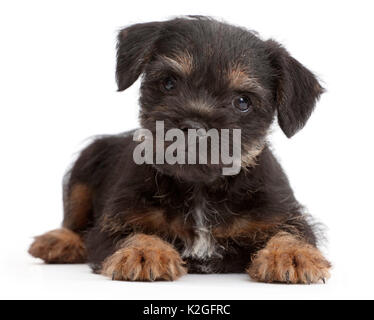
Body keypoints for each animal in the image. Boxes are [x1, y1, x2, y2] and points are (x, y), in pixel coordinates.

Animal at [30, 16, 332, 284]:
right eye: (169, 82)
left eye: (242, 102)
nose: (194, 126)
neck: (200, 189)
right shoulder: (114, 223)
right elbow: (132, 233)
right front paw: (144, 252)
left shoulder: (282, 214)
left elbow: (292, 233)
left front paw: (291, 256)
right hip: (85, 164)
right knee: (73, 221)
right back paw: (58, 241)